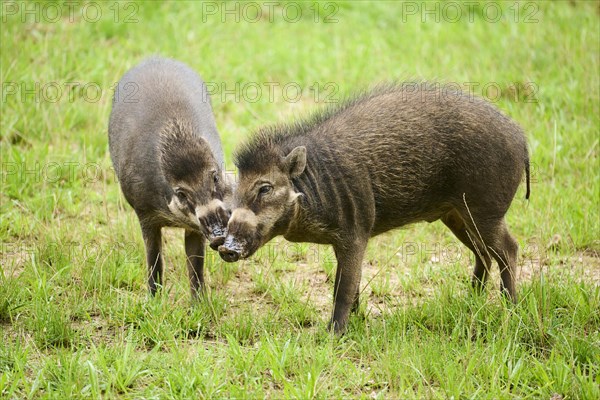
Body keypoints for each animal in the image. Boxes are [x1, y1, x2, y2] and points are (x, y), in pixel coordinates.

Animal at [108, 57, 230, 298]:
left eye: (214, 177)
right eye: (181, 193)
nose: (219, 234)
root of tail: (154, 58)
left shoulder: (196, 228)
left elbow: (195, 264)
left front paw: (199, 303)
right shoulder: (145, 214)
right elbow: (154, 258)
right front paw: (154, 299)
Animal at [218, 83, 528, 334]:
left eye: (265, 188)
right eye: (235, 188)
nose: (225, 248)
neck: (310, 186)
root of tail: (521, 139)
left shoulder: (356, 232)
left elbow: (343, 287)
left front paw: (332, 334)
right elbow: (351, 284)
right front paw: (357, 321)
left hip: (485, 211)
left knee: (508, 248)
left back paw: (511, 308)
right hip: (456, 216)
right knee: (483, 253)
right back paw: (471, 299)